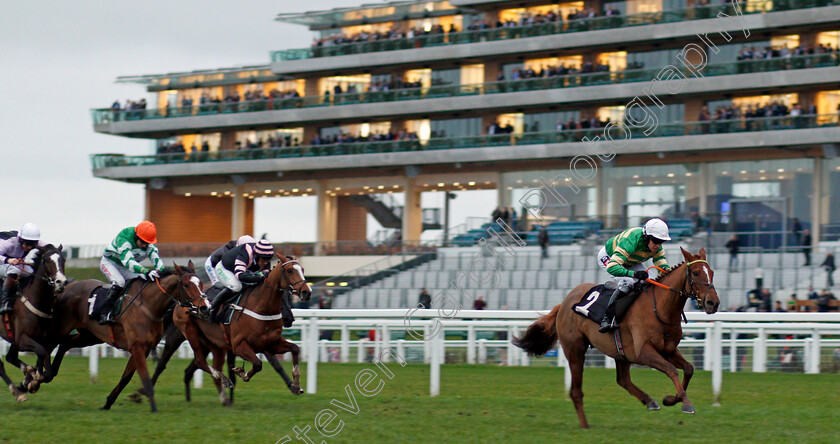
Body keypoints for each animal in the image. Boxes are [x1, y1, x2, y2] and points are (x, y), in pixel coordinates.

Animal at [0, 243, 66, 402]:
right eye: (47, 261)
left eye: (63, 260)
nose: (61, 282)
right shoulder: (22, 339)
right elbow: (40, 352)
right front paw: (34, 378)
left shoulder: (47, 342)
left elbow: (50, 373)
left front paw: (32, 378)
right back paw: (17, 391)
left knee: (10, 357)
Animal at [47, 262, 203, 412]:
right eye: (187, 284)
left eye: (201, 283)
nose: (204, 306)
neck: (148, 306)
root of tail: (68, 286)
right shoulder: (137, 347)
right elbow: (145, 378)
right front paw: (153, 408)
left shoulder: (144, 349)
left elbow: (126, 377)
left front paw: (108, 403)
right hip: (61, 329)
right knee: (47, 346)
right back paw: (44, 375)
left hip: (90, 336)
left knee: (65, 344)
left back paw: (51, 372)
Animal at [174, 250, 312, 402]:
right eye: (289, 270)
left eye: (302, 270)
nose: (306, 292)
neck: (261, 307)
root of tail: (182, 301)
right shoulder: (239, 345)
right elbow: (257, 364)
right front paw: (242, 373)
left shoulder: (271, 343)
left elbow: (295, 349)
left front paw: (296, 385)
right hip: (191, 333)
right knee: (199, 361)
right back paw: (224, 381)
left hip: (214, 344)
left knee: (200, 365)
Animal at [516, 248, 720, 428]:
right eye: (695, 273)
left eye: (711, 272)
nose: (713, 303)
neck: (660, 309)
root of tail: (565, 302)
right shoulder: (644, 352)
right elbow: (672, 370)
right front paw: (686, 404)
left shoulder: (667, 350)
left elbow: (689, 368)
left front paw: (671, 399)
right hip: (575, 350)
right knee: (576, 391)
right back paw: (585, 426)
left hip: (620, 351)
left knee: (623, 380)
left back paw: (649, 401)